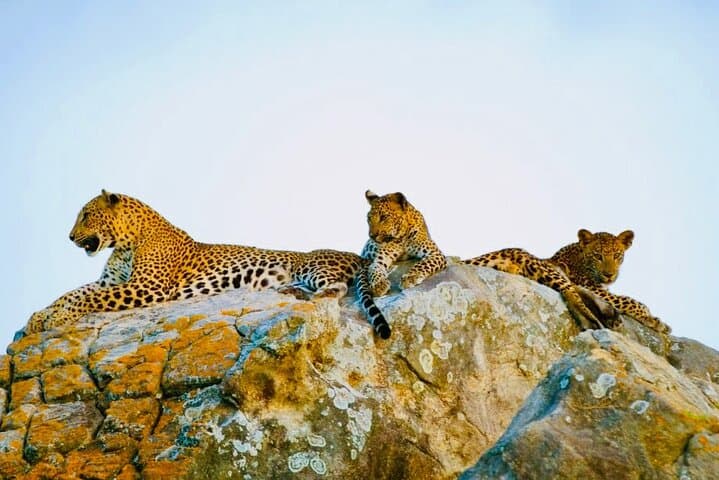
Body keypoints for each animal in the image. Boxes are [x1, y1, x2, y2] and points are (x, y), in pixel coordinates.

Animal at [27, 190, 391, 339]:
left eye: (87, 215)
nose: (70, 237)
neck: (125, 242)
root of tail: (359, 255)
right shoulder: (113, 282)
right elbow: (73, 292)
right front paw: (40, 317)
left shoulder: (145, 287)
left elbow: (88, 297)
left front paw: (56, 317)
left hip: (312, 267)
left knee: (338, 287)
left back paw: (312, 296)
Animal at [464, 229, 670, 334]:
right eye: (598, 256)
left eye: (617, 256)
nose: (609, 275)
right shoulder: (595, 287)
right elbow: (630, 301)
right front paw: (653, 319)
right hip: (530, 258)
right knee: (570, 292)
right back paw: (597, 319)